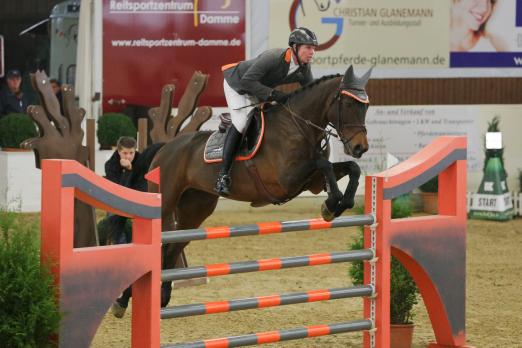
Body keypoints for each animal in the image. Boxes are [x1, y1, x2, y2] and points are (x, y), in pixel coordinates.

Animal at [149, 66, 370, 308]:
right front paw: (331, 202)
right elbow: (323, 164)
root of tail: (164, 148)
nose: (360, 147)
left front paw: (338, 203)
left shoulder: (312, 183)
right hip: (166, 200)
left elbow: (351, 168)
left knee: (172, 248)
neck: (298, 125)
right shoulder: (287, 179)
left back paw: (161, 297)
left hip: (196, 208)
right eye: (348, 104)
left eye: (366, 106)